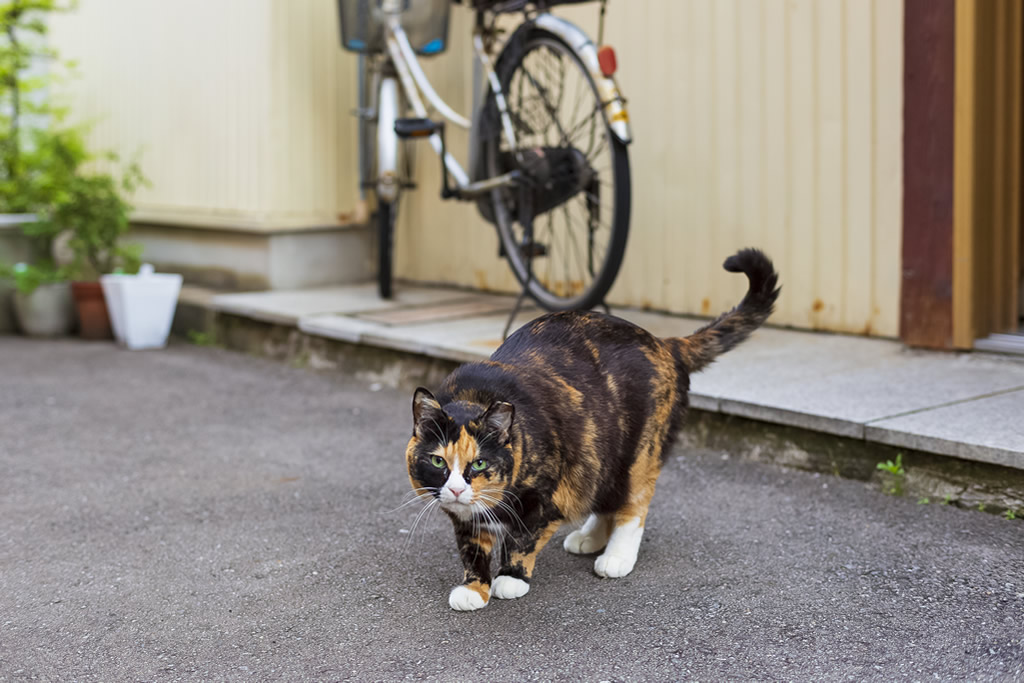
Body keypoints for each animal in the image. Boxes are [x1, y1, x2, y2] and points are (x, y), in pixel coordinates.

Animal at [403, 248, 778, 610]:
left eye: (479, 463)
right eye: (438, 462)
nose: (455, 489)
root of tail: (663, 343)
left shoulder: (546, 500)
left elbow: (522, 539)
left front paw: (510, 578)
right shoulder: (464, 518)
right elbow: (472, 548)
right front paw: (474, 589)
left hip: (638, 453)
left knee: (633, 504)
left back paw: (616, 556)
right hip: (598, 450)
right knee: (605, 495)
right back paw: (590, 538)